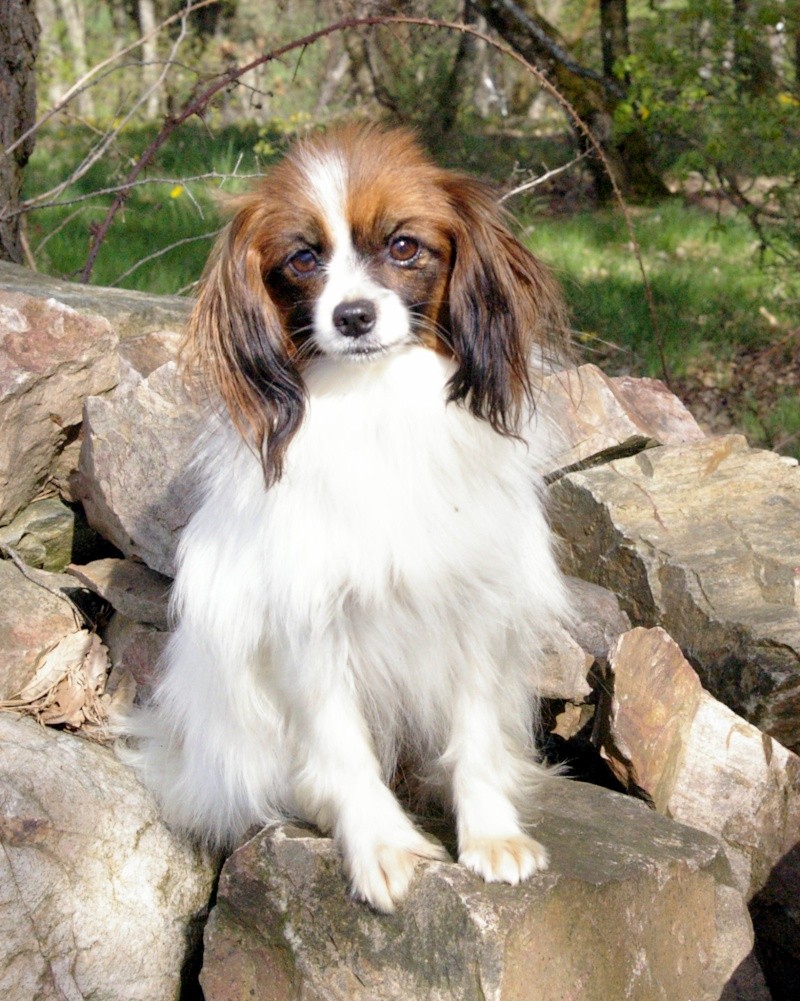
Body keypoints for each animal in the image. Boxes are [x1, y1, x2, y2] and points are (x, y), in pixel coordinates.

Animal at [128, 121, 572, 912]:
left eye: (403, 247)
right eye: (303, 259)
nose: (353, 316)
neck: (376, 398)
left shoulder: (475, 606)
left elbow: (475, 737)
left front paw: (490, 833)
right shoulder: (310, 620)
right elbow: (342, 748)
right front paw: (380, 844)